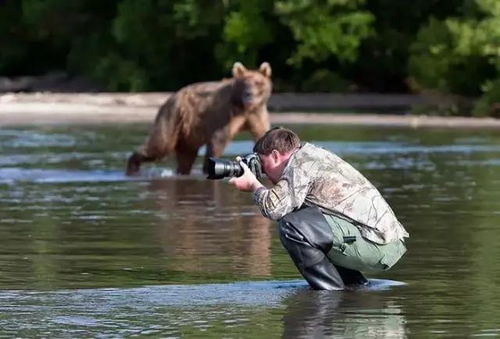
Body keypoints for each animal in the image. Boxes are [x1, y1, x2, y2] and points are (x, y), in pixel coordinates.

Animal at [127, 61, 272, 177]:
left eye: (258, 83)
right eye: (244, 83)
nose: (249, 95)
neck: (244, 107)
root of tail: (171, 97)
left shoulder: (257, 114)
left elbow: (262, 133)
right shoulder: (227, 114)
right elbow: (218, 140)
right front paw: (209, 167)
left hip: (188, 132)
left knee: (186, 157)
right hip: (173, 117)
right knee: (160, 145)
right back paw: (132, 167)